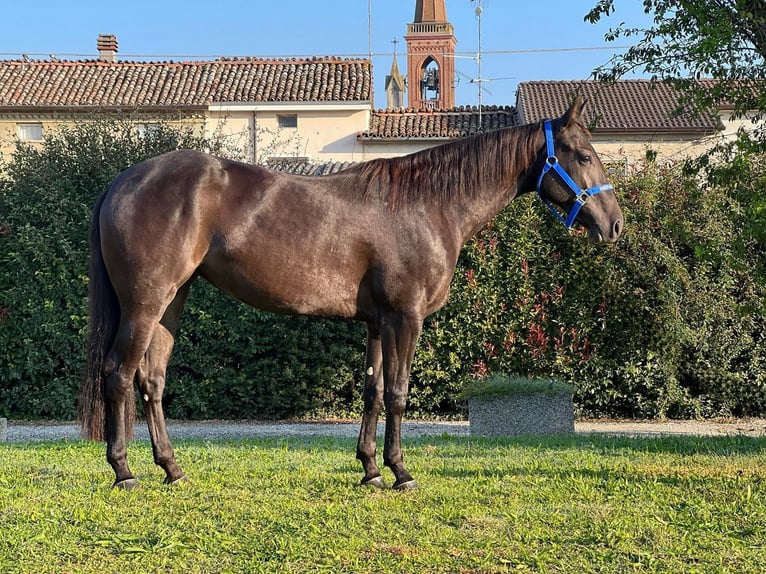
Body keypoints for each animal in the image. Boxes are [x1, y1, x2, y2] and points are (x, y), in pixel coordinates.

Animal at [79, 96, 623, 490]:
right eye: (583, 155)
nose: (614, 225)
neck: (428, 204)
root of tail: (123, 180)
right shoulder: (406, 317)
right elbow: (399, 393)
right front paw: (402, 473)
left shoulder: (378, 322)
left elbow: (373, 390)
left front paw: (370, 470)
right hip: (145, 303)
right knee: (119, 374)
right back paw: (124, 472)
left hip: (172, 301)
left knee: (152, 380)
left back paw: (172, 469)